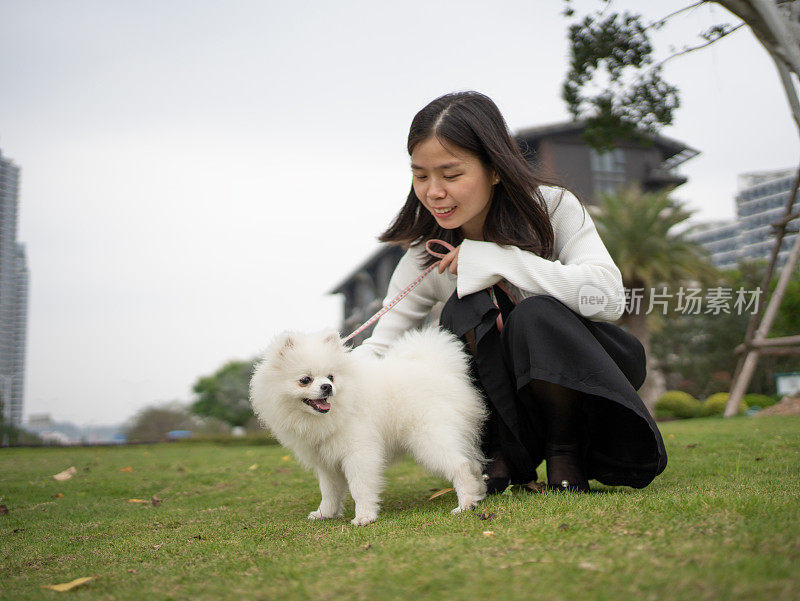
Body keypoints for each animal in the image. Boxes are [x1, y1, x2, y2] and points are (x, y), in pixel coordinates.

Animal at [250, 324, 488, 524]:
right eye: (305, 380)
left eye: (331, 377)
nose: (327, 387)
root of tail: (442, 369)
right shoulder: (327, 461)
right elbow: (329, 491)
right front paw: (325, 513)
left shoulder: (359, 452)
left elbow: (360, 487)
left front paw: (364, 517)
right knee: (473, 464)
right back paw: (479, 494)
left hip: (429, 437)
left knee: (461, 465)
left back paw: (465, 504)